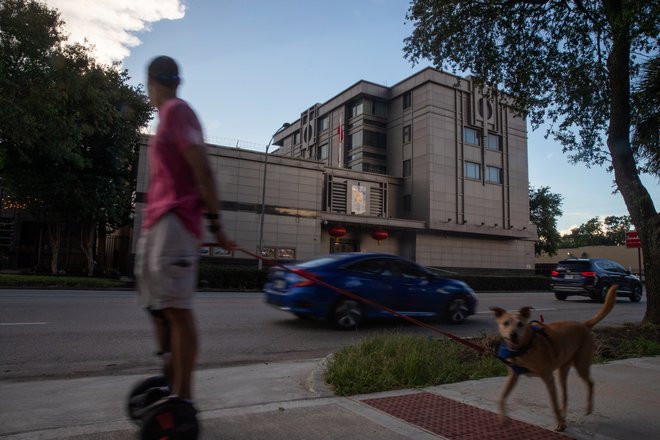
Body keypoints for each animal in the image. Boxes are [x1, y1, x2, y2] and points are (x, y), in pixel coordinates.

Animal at [490, 284, 620, 432]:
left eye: (520, 324)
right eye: (505, 323)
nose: (513, 335)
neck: (525, 347)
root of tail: (584, 324)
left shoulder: (548, 378)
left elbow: (553, 403)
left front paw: (560, 424)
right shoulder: (513, 375)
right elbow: (501, 397)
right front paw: (502, 419)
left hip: (581, 365)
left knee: (590, 383)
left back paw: (587, 409)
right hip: (562, 370)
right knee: (565, 394)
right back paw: (564, 413)